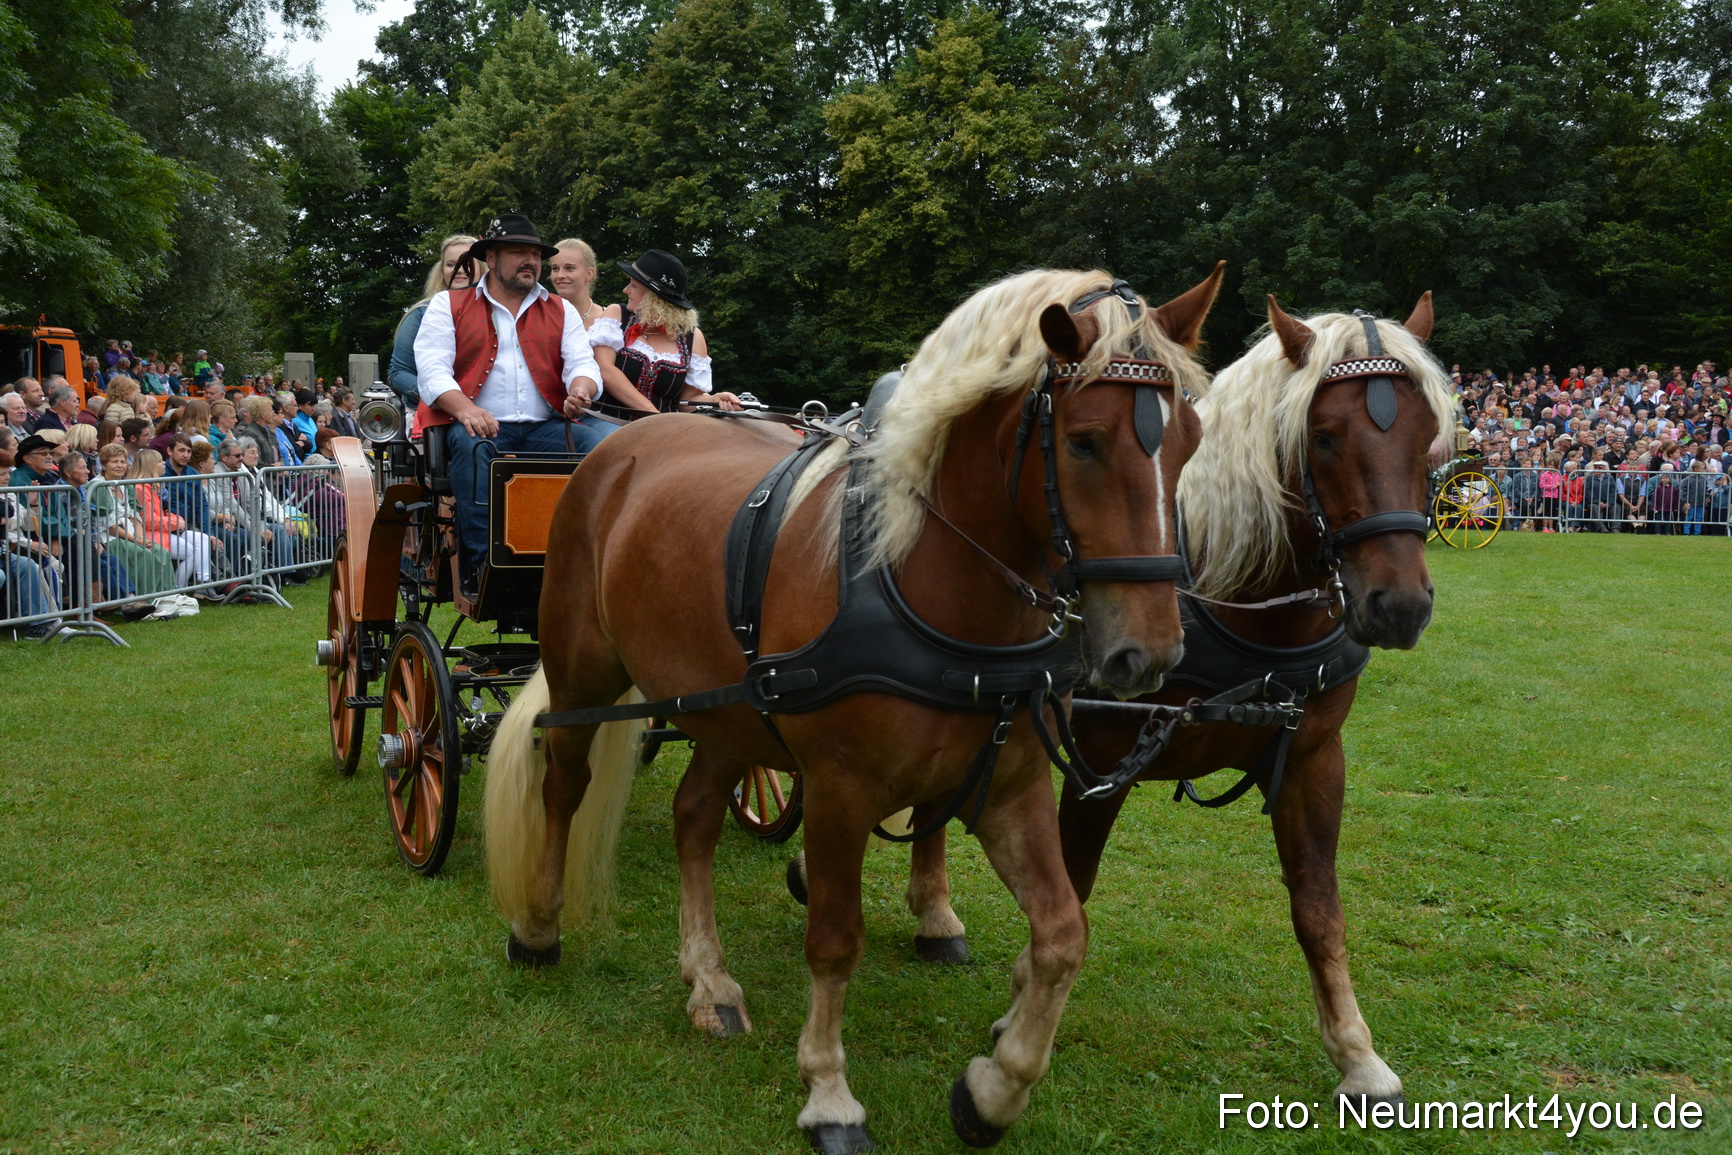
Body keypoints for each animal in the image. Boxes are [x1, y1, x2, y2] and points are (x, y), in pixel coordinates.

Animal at [482, 265, 1226, 1151]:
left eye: (1189, 441)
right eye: (1083, 441)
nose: (1150, 652)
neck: (925, 579)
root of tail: (622, 445)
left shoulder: (1009, 785)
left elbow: (1062, 932)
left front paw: (993, 1088)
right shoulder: (839, 791)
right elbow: (836, 941)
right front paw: (830, 1093)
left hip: (728, 706)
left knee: (695, 815)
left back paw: (709, 979)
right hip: (581, 667)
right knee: (564, 781)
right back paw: (537, 927)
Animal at [879, 294, 1452, 1110]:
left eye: (1429, 438)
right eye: (1325, 436)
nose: (1399, 606)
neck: (1230, 599)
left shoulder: (1315, 759)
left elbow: (1319, 909)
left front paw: (1357, 1053)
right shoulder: (1099, 763)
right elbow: (1074, 890)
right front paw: (1020, 1012)